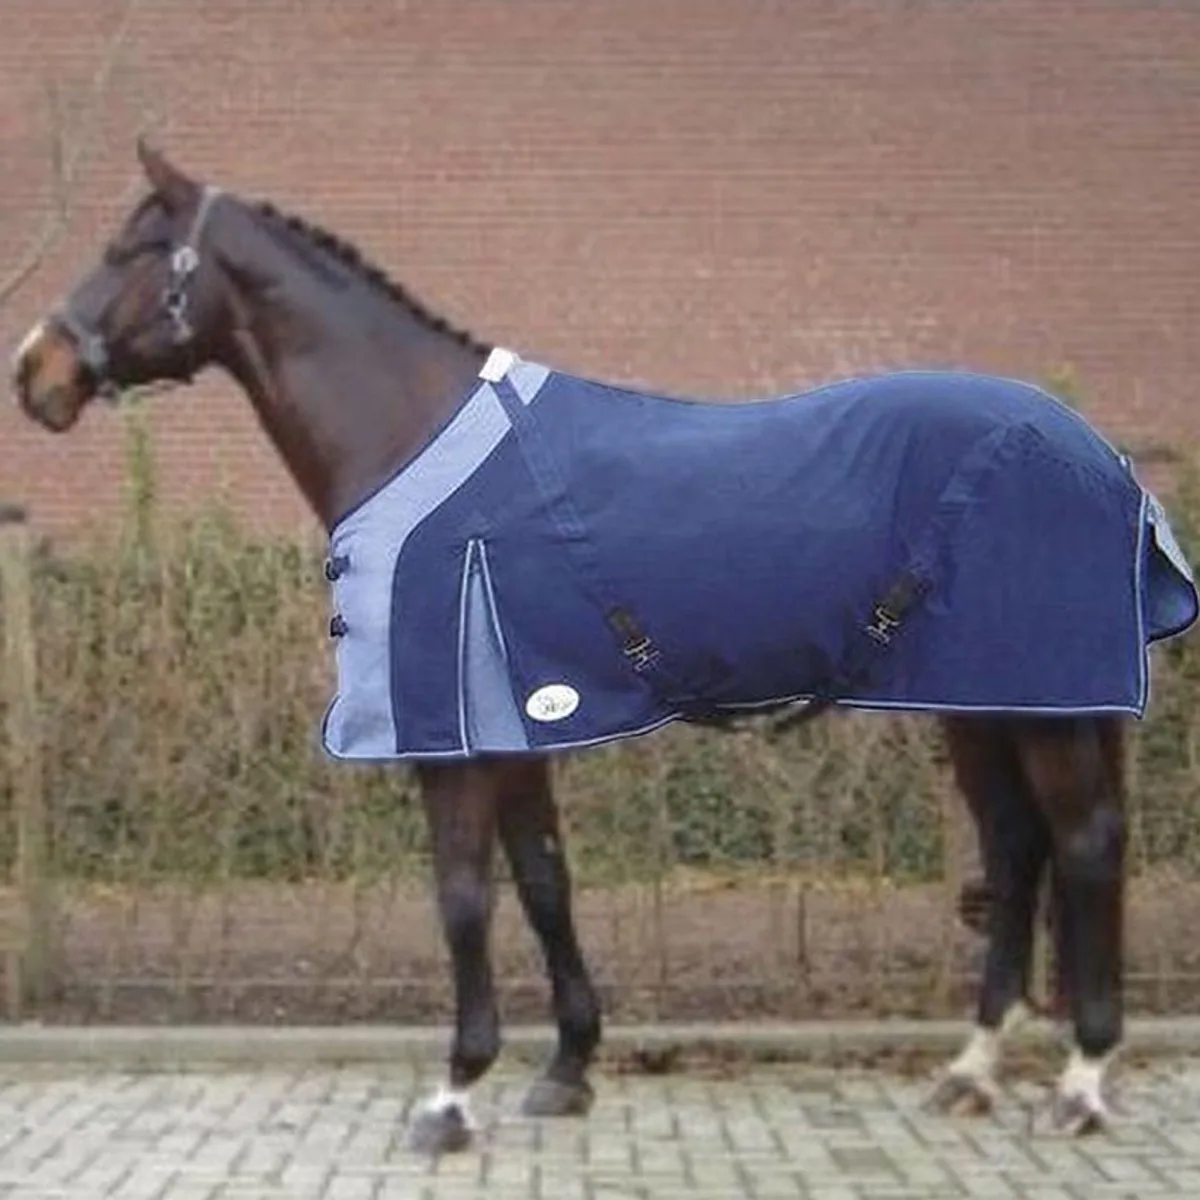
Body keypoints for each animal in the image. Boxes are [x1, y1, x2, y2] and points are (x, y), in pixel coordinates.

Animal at [12, 141, 1197, 1151]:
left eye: (128, 251)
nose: (36, 373)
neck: (413, 434)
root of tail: (1095, 453)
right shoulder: (512, 729)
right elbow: (544, 884)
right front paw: (567, 1067)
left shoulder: (452, 742)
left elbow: (463, 898)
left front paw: (454, 1093)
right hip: (985, 704)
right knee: (1018, 847)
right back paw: (973, 1069)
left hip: (1038, 706)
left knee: (1085, 845)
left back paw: (1082, 1085)